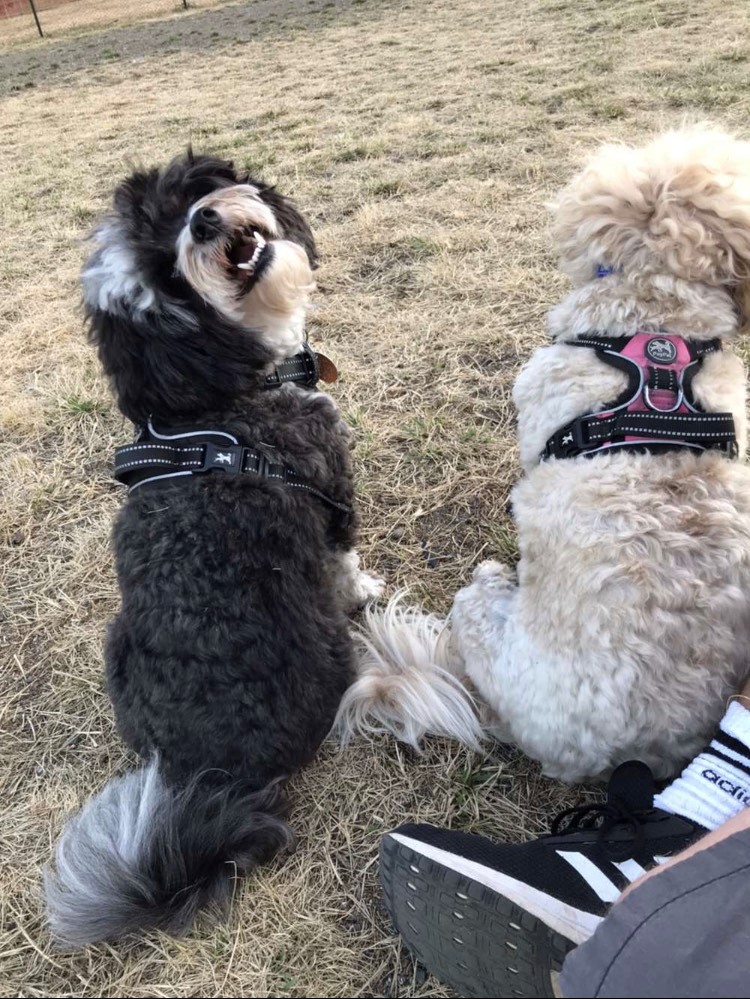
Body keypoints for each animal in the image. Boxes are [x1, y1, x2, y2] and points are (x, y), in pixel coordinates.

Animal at [42, 152, 382, 948]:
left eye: (177, 204)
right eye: (169, 282)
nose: (202, 222)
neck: (222, 400)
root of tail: (208, 772)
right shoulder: (329, 482)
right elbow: (345, 558)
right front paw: (367, 589)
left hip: (117, 646)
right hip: (326, 653)